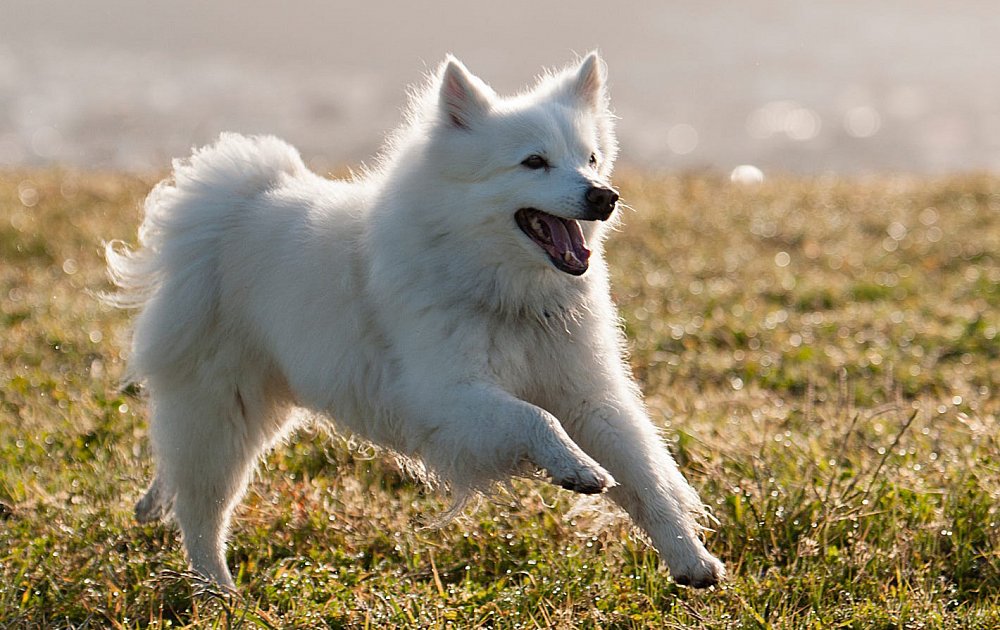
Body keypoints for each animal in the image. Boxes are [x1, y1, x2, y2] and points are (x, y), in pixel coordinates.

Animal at [105, 51, 724, 592]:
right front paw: (575, 467)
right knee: (202, 512)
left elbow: (646, 478)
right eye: (534, 162)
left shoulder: (589, 395)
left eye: (591, 159)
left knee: (183, 484)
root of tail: (228, 204)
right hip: (219, 414)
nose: (604, 196)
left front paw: (690, 559)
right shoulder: (446, 399)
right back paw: (219, 592)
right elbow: (536, 419)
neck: (505, 294)